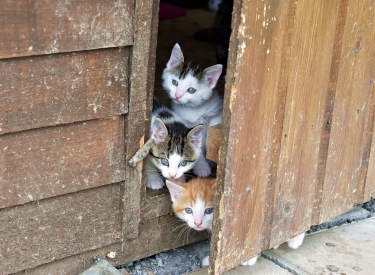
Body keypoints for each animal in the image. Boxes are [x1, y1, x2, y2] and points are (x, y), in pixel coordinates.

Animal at [162, 43, 223, 177]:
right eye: (175, 82)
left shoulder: (216, 112)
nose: (178, 96)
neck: (193, 109)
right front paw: (202, 167)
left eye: (191, 90)